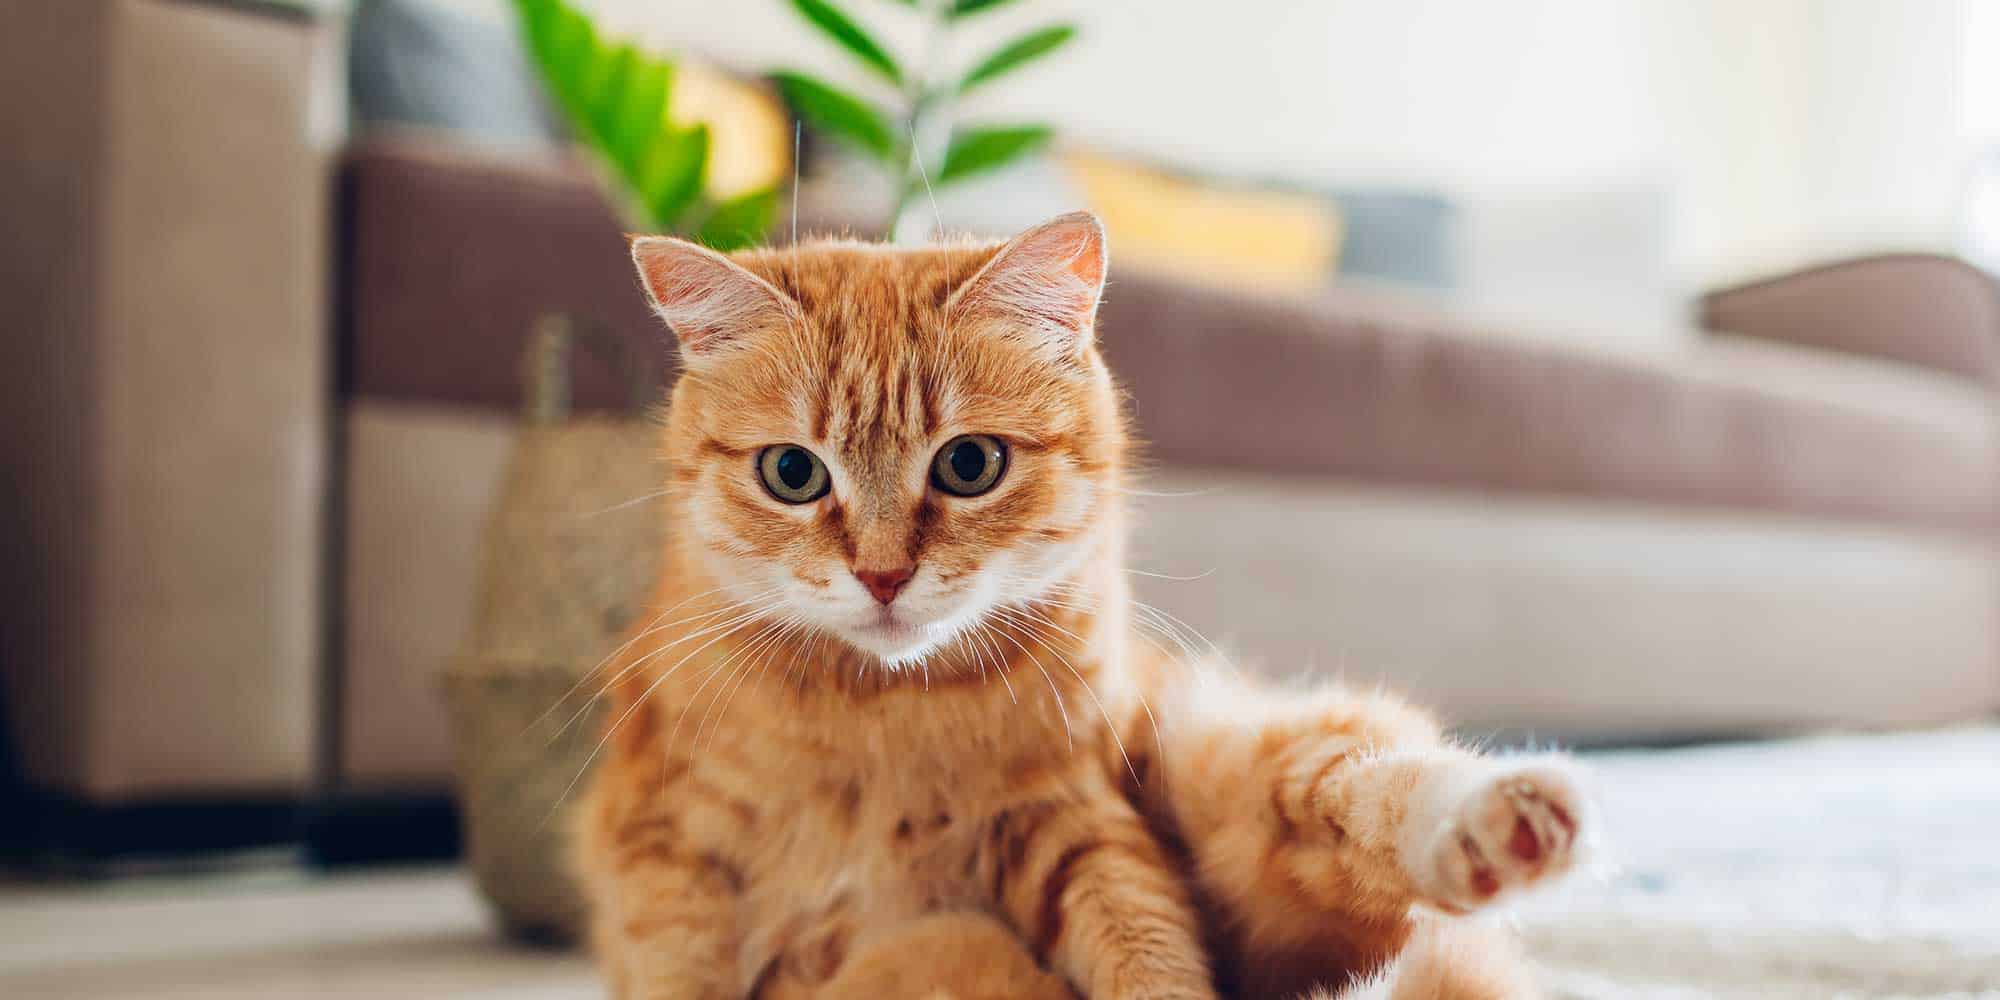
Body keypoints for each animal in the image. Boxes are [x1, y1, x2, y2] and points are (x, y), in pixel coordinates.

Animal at [572, 213, 1584, 1000]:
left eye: (969, 465)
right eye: (792, 473)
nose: (884, 575)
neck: (881, 717)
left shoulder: (1075, 820)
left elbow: (1146, 945)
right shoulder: (665, 861)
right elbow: (680, 970)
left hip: (1216, 756)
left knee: (1350, 789)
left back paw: (1501, 822)